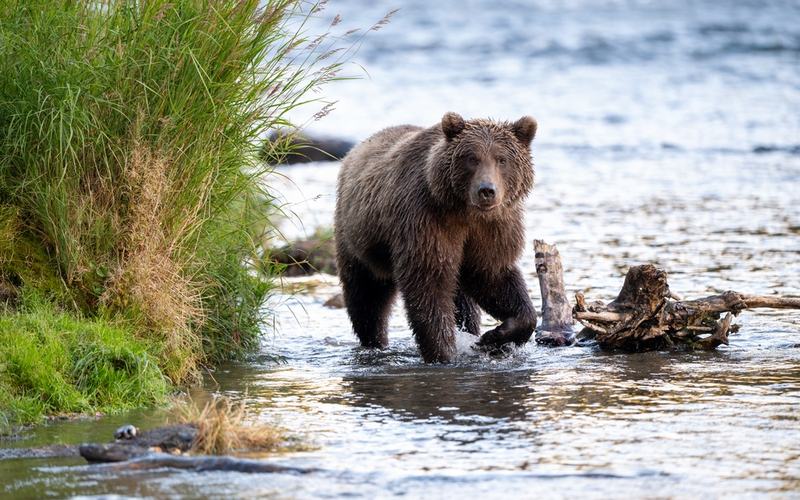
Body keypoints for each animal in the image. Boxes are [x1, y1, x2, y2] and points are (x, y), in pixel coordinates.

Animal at [334, 112, 538, 363]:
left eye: (502, 159)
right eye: (472, 158)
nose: (486, 190)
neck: (464, 212)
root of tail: (355, 150)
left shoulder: (492, 229)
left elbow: (493, 275)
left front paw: (494, 337)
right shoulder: (425, 220)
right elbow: (428, 284)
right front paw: (443, 352)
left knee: (464, 302)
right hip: (357, 240)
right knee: (366, 297)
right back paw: (374, 341)